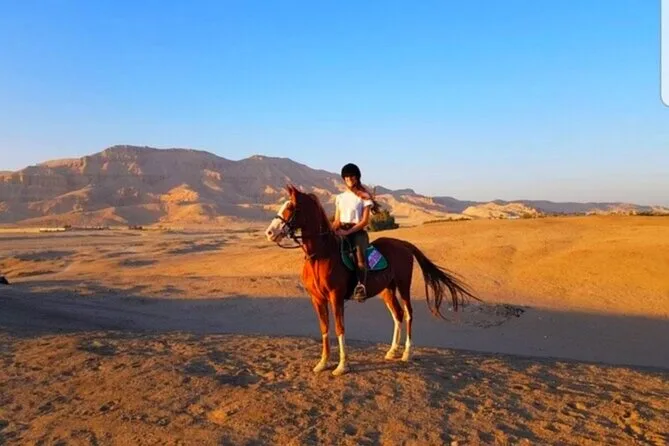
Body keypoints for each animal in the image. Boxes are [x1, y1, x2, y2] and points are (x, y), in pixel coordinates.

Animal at [264, 184, 480, 376]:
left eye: (291, 207)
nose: (270, 233)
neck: (321, 255)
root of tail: (403, 244)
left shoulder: (336, 297)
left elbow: (340, 328)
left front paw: (342, 366)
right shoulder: (317, 299)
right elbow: (324, 328)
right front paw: (323, 363)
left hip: (403, 285)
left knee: (408, 314)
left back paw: (406, 353)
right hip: (387, 289)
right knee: (397, 314)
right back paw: (392, 351)